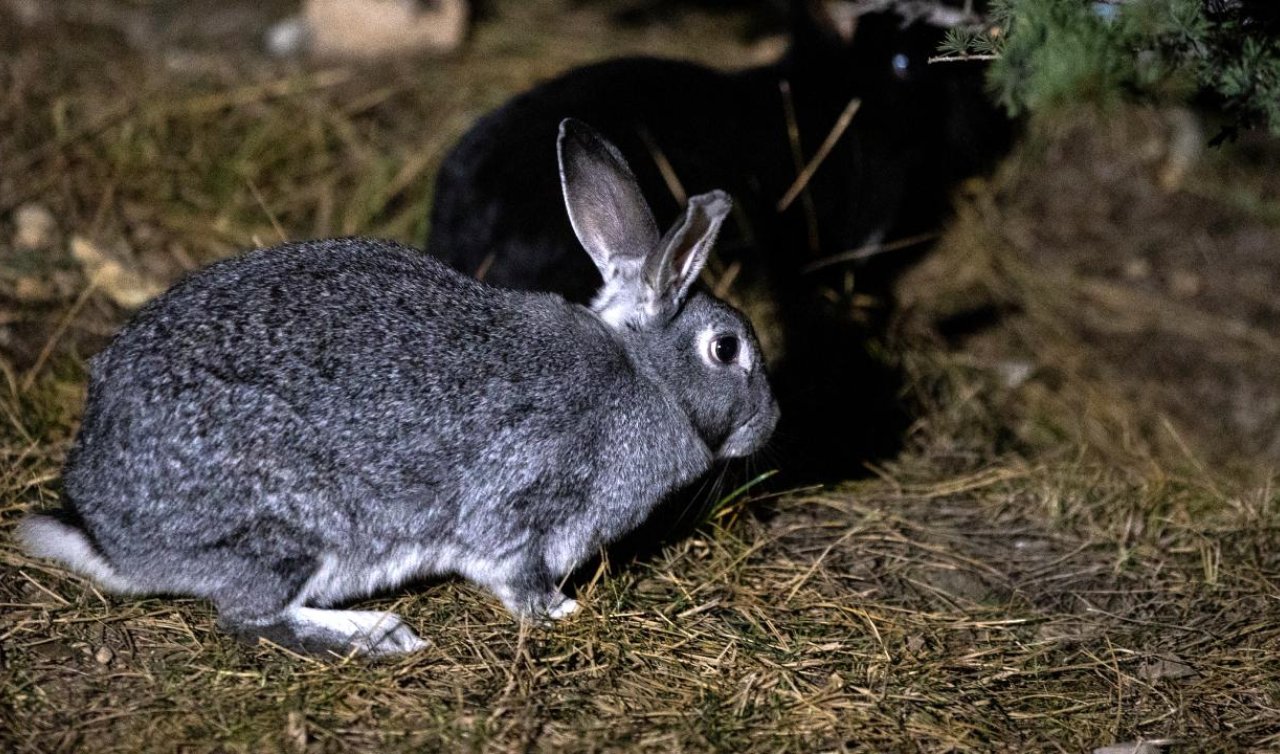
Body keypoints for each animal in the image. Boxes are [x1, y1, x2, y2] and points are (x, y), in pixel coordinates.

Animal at [20, 120, 778, 655]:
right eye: (726, 348)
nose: (771, 422)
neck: (642, 372)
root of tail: (109, 534)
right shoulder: (521, 505)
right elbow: (514, 572)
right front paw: (560, 610)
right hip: (288, 528)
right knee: (251, 615)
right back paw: (379, 635)